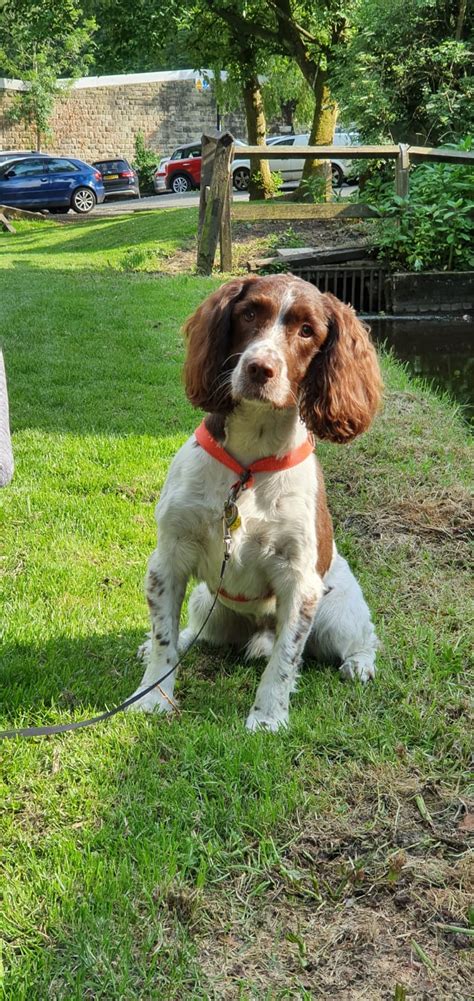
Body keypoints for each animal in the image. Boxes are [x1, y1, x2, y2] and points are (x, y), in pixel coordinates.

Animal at [130, 274, 382, 728]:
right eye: (249, 314)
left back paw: (359, 664)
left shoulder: (301, 584)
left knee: (362, 638)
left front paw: (267, 719)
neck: (249, 463)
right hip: (207, 602)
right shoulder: (169, 559)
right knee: (195, 632)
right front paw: (154, 697)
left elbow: (284, 659)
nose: (259, 368)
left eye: (307, 331)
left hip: (337, 612)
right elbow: (164, 637)